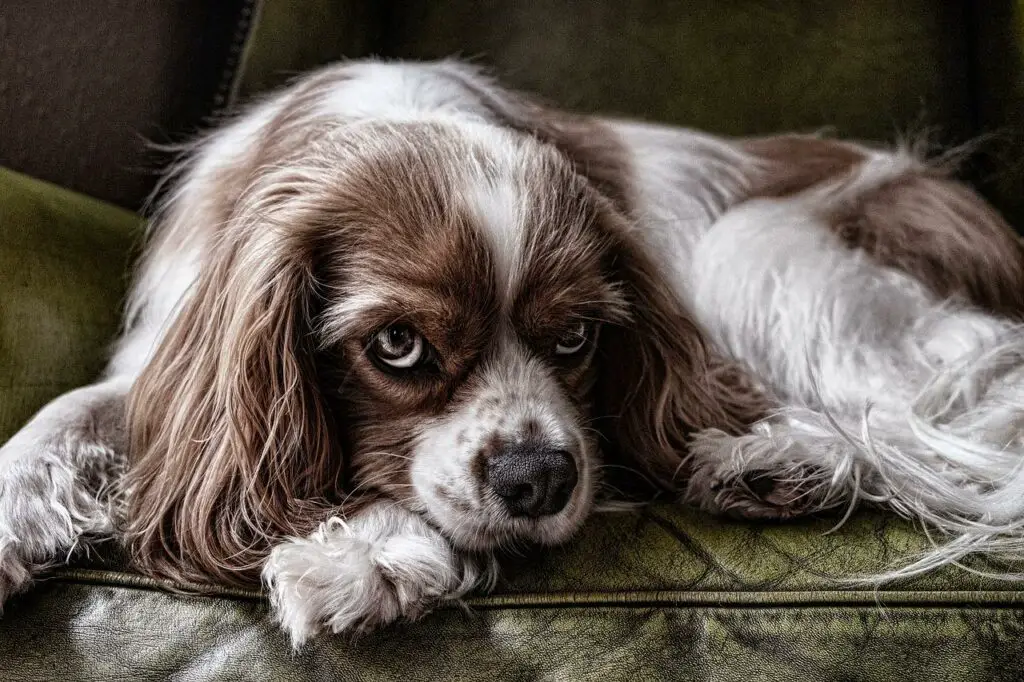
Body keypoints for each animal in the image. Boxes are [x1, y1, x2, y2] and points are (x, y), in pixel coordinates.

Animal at [2, 59, 1024, 643]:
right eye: (399, 345)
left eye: (574, 337)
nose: (538, 479)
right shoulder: (176, 356)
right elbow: (69, 412)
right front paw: (14, 514)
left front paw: (370, 553)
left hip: (761, 248)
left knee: (927, 416)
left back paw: (778, 459)